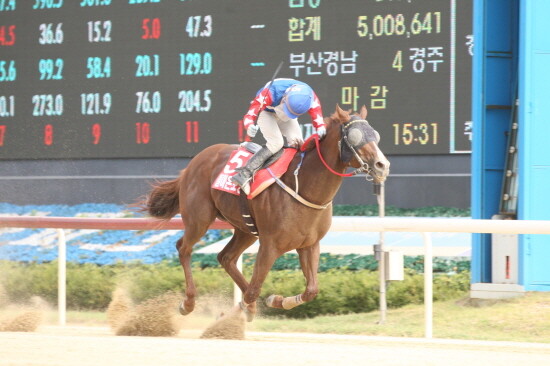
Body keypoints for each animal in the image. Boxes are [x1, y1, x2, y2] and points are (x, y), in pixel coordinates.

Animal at [142, 105, 392, 320]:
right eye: (356, 136)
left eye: (376, 135)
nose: (382, 165)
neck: (303, 185)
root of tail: (192, 165)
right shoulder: (270, 245)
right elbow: (254, 289)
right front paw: (237, 314)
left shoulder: (309, 244)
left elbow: (311, 289)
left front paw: (276, 300)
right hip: (199, 218)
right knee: (184, 248)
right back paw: (188, 302)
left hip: (245, 229)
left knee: (226, 257)